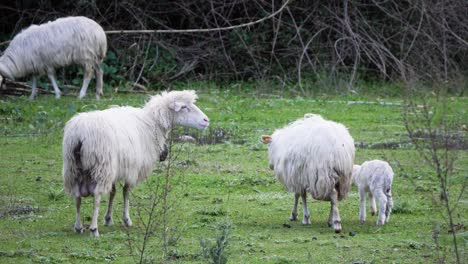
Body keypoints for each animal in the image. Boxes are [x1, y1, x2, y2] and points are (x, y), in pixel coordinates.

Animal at [62, 89, 210, 236]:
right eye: (184, 107)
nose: (206, 120)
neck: (152, 124)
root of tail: (80, 134)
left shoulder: (118, 168)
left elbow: (113, 192)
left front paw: (108, 219)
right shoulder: (132, 168)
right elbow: (126, 192)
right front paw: (126, 220)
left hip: (73, 168)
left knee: (77, 196)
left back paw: (78, 226)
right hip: (102, 166)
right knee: (97, 196)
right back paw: (94, 228)